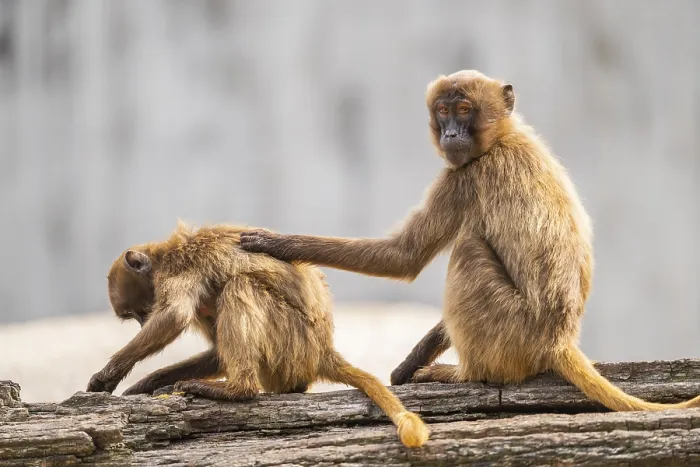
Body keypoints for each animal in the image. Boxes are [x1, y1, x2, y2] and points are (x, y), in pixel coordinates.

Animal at [86, 222, 430, 448]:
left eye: (140, 312)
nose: (142, 322)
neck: (163, 254)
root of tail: (324, 350)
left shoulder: (179, 268)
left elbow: (174, 316)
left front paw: (107, 376)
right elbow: (214, 352)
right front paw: (146, 384)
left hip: (294, 343)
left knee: (240, 285)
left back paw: (238, 390)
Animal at [239, 69, 700, 412]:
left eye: (464, 110)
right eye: (443, 111)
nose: (452, 133)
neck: (501, 139)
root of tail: (559, 340)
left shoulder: (465, 177)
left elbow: (403, 257)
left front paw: (276, 244)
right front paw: (411, 360)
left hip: (514, 331)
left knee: (468, 249)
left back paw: (465, 373)